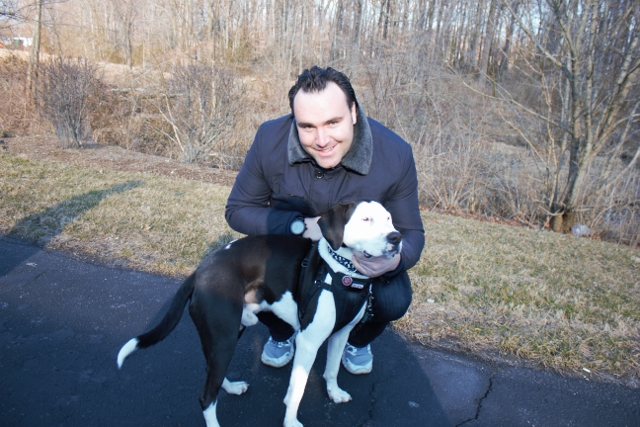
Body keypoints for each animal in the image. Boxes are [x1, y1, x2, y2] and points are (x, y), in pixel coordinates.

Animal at [116, 201, 400, 427]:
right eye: (365, 219)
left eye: (388, 218)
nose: (396, 238)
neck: (344, 273)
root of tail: (200, 271)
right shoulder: (308, 343)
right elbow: (296, 391)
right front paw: (291, 422)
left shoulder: (341, 335)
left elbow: (331, 370)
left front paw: (334, 393)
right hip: (224, 338)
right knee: (206, 397)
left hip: (226, 335)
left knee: (212, 372)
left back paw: (230, 387)